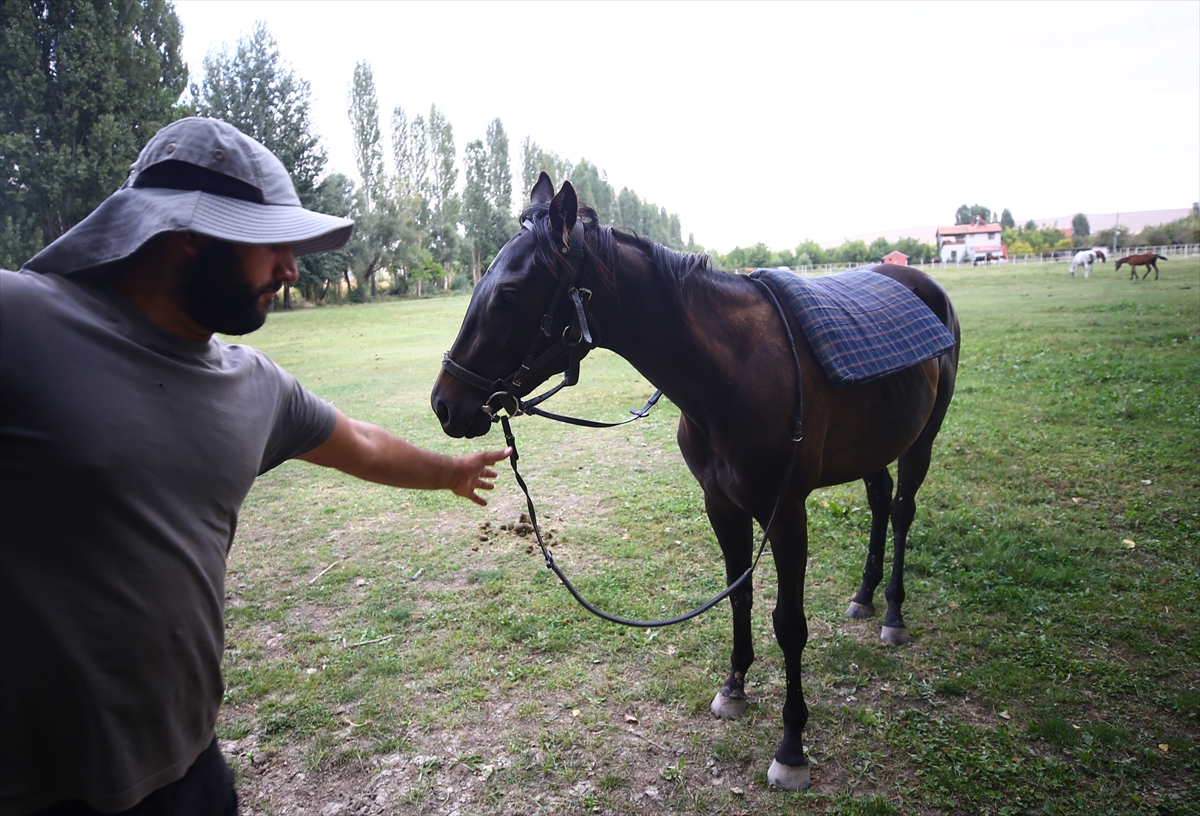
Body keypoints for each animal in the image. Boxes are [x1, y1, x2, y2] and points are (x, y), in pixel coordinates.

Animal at [427, 176, 960, 792]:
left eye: (511, 294)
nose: (445, 403)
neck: (732, 374)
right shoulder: (720, 505)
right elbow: (739, 594)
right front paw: (734, 689)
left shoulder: (786, 513)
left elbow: (789, 624)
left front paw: (792, 747)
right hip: (875, 444)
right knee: (878, 501)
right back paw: (865, 596)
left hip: (921, 441)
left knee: (899, 510)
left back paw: (893, 613)